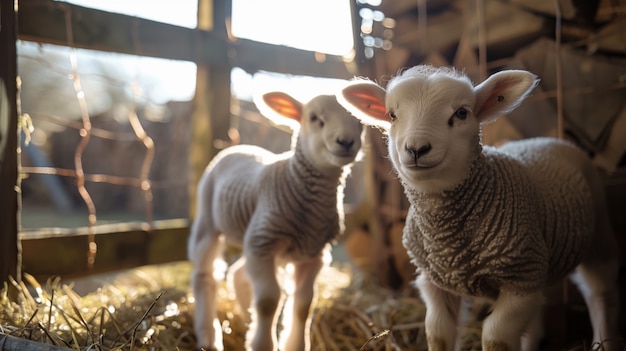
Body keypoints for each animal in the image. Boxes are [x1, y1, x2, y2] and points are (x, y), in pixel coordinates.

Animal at [186, 91, 360, 351]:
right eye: (314, 118)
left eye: (360, 122)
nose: (346, 141)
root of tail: (236, 147)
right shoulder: (263, 245)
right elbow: (268, 301)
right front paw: (262, 343)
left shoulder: (313, 253)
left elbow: (303, 304)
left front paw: (294, 345)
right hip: (209, 219)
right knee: (205, 276)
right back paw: (208, 335)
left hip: (257, 237)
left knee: (238, 273)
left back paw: (247, 321)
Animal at [336, 66, 620, 351]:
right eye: (392, 115)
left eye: (462, 113)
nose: (416, 149)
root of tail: (545, 139)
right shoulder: (437, 283)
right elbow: (437, 334)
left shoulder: (519, 282)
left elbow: (496, 338)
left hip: (598, 236)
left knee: (599, 294)